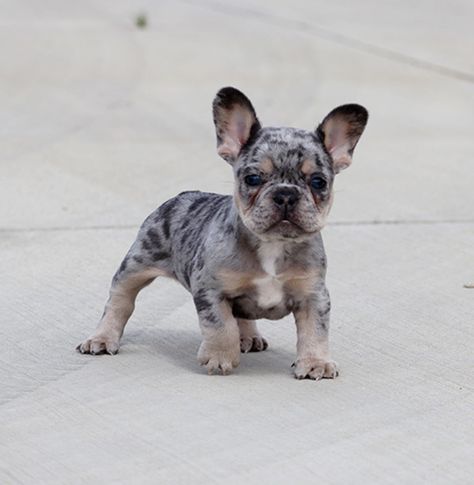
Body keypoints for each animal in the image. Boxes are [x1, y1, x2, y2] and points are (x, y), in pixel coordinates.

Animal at [78, 88, 368, 382]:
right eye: (253, 178)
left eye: (318, 182)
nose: (285, 194)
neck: (272, 244)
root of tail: (184, 194)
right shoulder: (211, 289)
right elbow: (221, 325)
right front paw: (219, 357)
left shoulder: (313, 295)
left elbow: (315, 331)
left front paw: (315, 362)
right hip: (136, 264)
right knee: (120, 301)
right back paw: (102, 338)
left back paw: (249, 336)